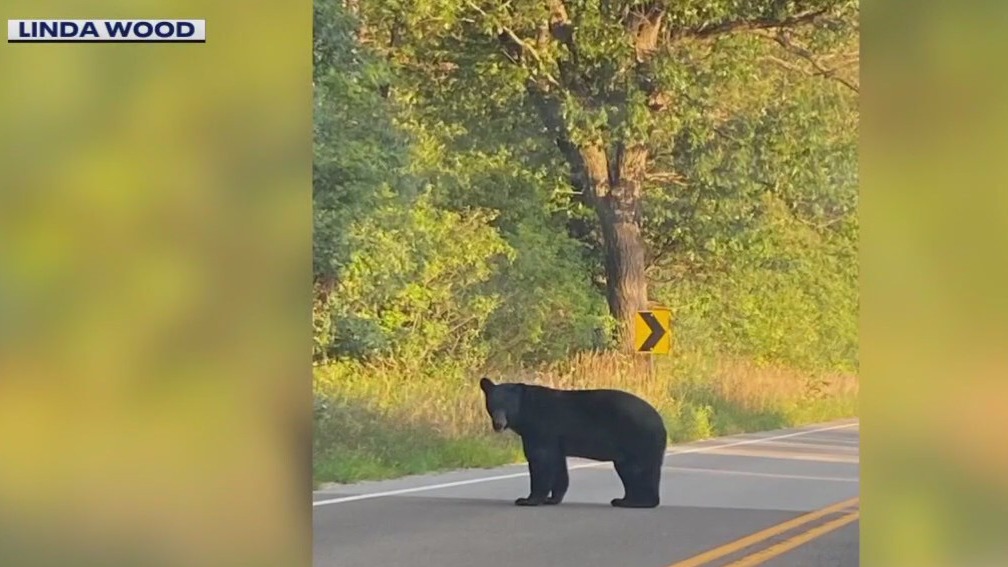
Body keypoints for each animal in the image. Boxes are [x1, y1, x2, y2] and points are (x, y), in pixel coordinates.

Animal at [479, 376, 667, 508]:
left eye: (507, 406)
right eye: (492, 404)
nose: (498, 424)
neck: (526, 413)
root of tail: (661, 421)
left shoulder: (541, 429)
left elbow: (540, 461)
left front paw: (528, 499)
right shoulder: (555, 440)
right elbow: (558, 465)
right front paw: (552, 498)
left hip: (638, 439)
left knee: (639, 470)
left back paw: (637, 502)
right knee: (631, 472)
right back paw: (625, 499)